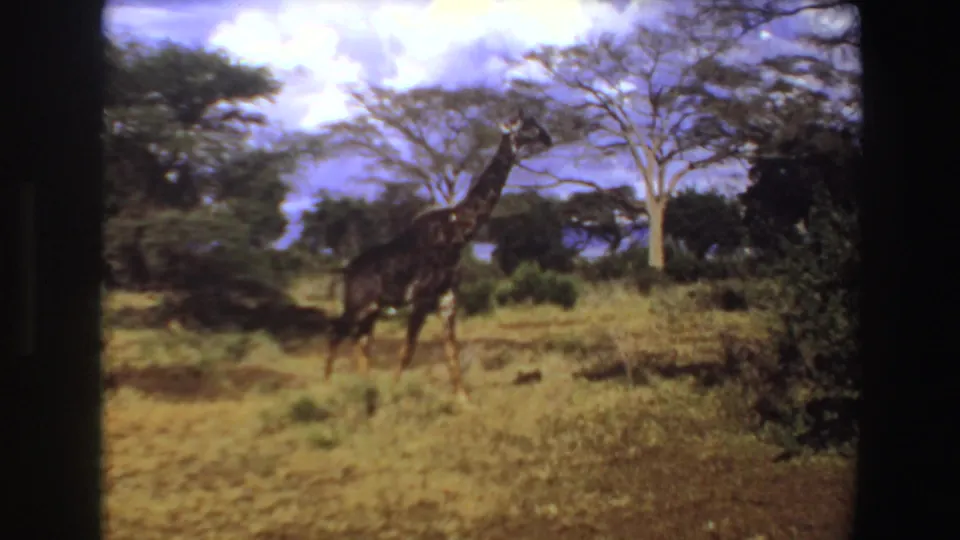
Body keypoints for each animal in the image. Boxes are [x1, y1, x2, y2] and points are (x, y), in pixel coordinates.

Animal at [325, 109, 553, 402]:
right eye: (524, 126)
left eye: (536, 123)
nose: (547, 138)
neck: (457, 231)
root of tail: (347, 270)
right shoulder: (422, 298)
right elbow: (408, 350)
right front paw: (392, 395)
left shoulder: (448, 298)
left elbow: (451, 351)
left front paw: (464, 400)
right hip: (357, 304)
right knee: (336, 333)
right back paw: (328, 388)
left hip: (372, 309)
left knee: (361, 342)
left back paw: (364, 388)